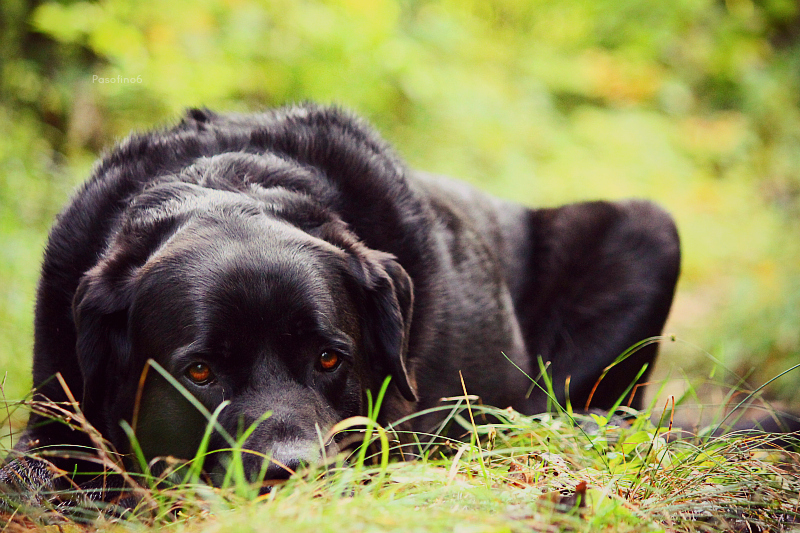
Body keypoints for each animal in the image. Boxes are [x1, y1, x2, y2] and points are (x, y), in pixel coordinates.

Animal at [4, 104, 680, 494]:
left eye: (330, 358)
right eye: (198, 372)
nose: (292, 470)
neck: (224, 184)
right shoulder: (51, 413)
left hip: (649, 228)